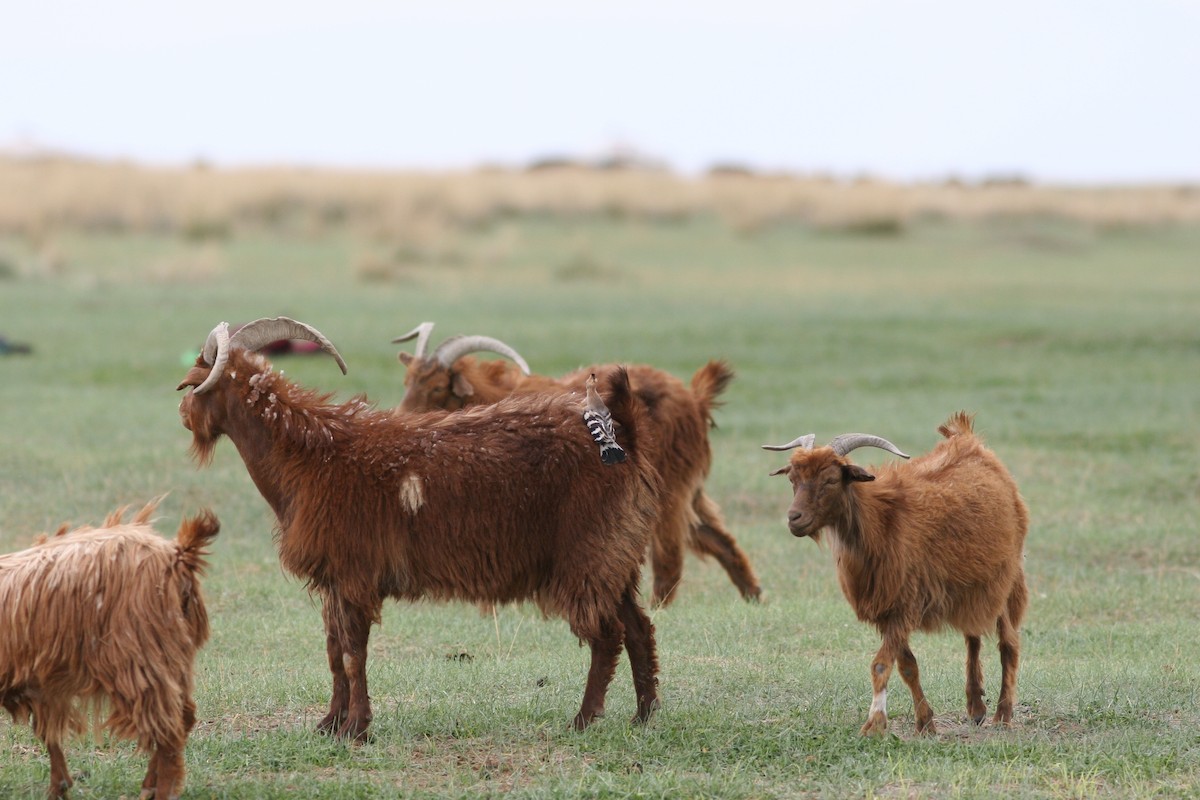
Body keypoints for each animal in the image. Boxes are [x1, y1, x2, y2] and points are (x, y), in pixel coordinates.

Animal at [0, 496, 218, 796]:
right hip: (170, 656)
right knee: (181, 717)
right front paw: (60, 786)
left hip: (137, 656)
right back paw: (150, 786)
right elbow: (49, 733)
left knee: (168, 727)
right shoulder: (38, 684)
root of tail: (179, 553)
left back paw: (159, 792)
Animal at [178, 316, 667, 743]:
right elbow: (335, 652)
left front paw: (356, 730)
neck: (310, 456)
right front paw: (329, 725)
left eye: (193, 381)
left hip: (588, 555)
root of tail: (623, 434)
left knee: (607, 636)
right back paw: (643, 716)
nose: (183, 411)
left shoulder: (354, 575)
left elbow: (353, 654)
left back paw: (583, 720)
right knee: (638, 627)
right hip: (615, 557)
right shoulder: (335, 580)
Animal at [391, 321, 758, 604]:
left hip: (670, 488)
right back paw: (754, 596)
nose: (399, 419)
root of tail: (694, 399)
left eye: (437, 387)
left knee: (670, 555)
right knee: (717, 538)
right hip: (687, 488)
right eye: (407, 381)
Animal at [763, 412, 1027, 738]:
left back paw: (1003, 714)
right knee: (972, 637)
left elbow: (880, 665)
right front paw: (925, 722)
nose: (794, 519)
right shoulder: (888, 610)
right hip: (970, 587)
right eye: (793, 480)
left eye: (831, 480)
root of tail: (969, 440)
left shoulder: (904, 605)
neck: (882, 523)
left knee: (1008, 643)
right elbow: (908, 666)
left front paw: (874, 724)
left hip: (1006, 579)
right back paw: (976, 706)